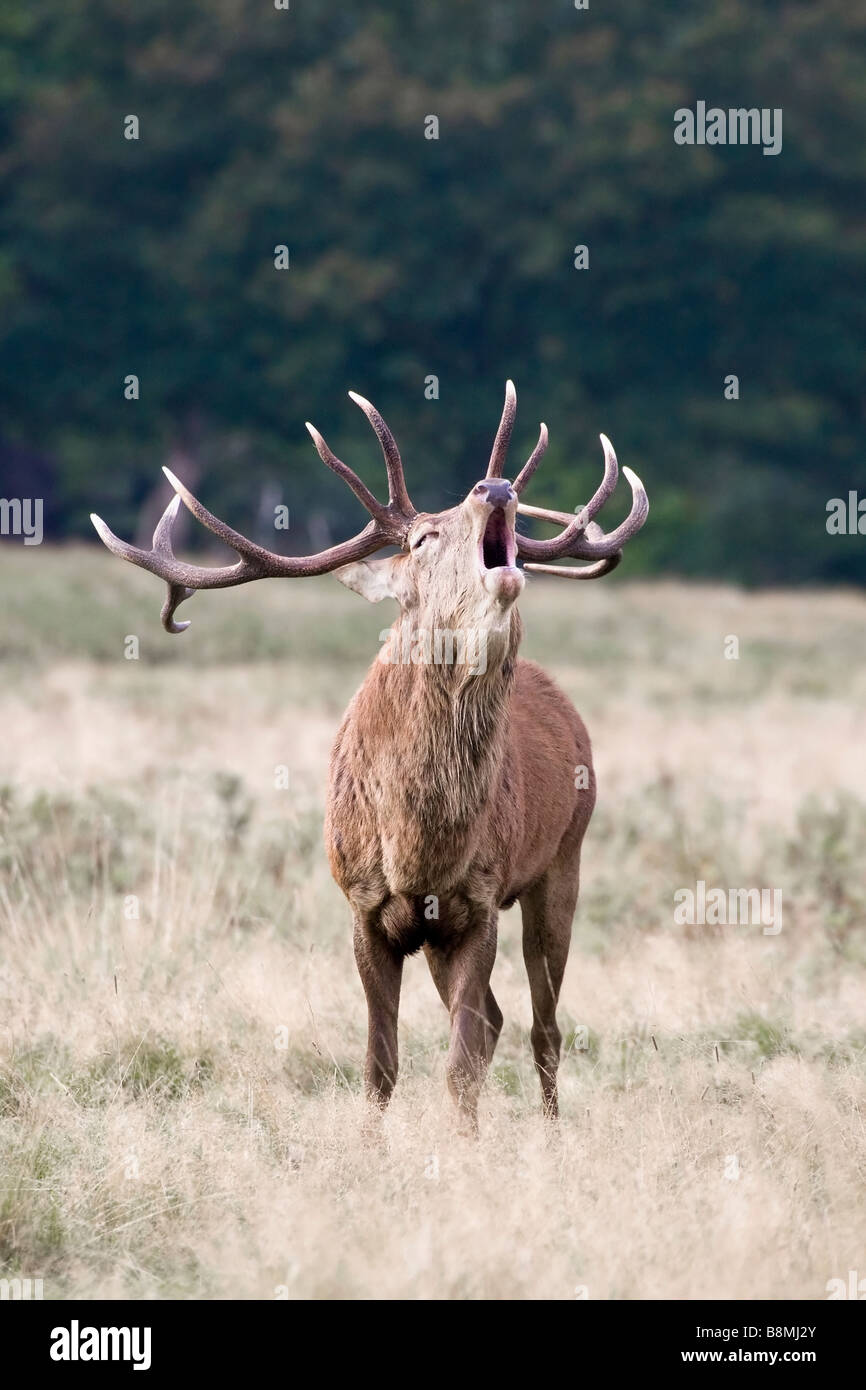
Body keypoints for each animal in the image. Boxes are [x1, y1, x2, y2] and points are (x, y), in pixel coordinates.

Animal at [91, 383, 648, 1131]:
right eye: (422, 537)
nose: (496, 486)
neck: (417, 848)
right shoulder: (361, 904)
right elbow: (379, 1063)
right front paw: (376, 1144)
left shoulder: (478, 901)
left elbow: (459, 1065)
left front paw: (466, 1148)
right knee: (501, 1019)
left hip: (565, 858)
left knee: (543, 1026)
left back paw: (553, 1130)